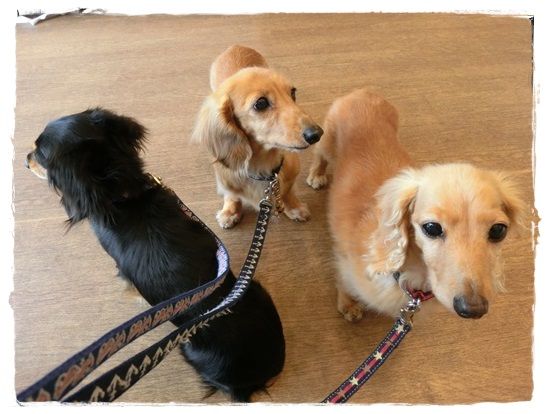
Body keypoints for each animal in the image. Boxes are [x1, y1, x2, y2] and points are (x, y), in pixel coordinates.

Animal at [26, 108, 285, 402]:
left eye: (40, 153)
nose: (25, 160)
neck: (123, 195)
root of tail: (250, 382)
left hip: (186, 347)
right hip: (257, 289)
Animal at [192, 45, 323, 229]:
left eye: (293, 93)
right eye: (260, 103)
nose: (317, 134)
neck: (263, 168)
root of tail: (235, 46)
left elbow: (288, 192)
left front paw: (294, 208)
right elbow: (232, 195)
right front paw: (230, 212)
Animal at [306, 88, 525, 321]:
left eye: (498, 230)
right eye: (431, 228)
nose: (473, 309)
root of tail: (364, 92)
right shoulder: (345, 263)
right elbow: (344, 284)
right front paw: (348, 304)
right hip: (326, 141)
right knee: (320, 156)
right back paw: (317, 175)